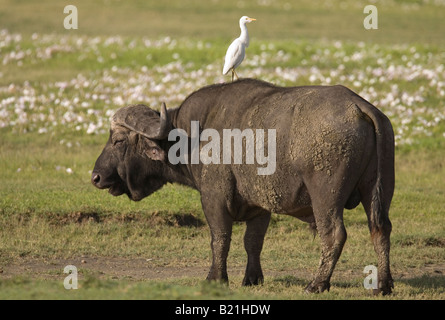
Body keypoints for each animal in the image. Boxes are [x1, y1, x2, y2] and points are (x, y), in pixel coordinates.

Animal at [92, 79, 394, 296]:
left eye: (118, 141)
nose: (95, 177)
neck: (192, 136)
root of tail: (359, 107)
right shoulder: (260, 208)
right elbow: (253, 242)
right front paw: (252, 278)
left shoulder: (213, 200)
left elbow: (220, 239)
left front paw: (215, 278)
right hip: (378, 191)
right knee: (380, 229)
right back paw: (383, 285)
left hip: (325, 198)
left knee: (334, 234)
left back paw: (317, 284)